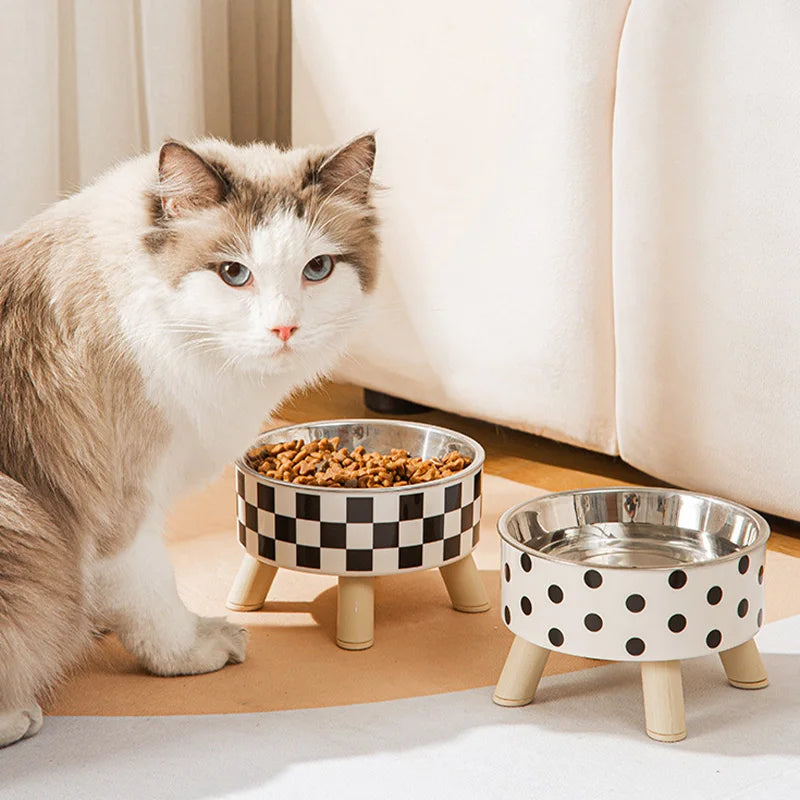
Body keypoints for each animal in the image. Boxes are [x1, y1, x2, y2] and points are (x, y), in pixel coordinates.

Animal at [0, 133, 378, 752]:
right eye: (233, 273)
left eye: (317, 269)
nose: (284, 329)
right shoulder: (124, 506)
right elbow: (155, 597)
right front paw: (195, 650)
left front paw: (94, 619)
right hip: (20, 515)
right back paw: (18, 715)